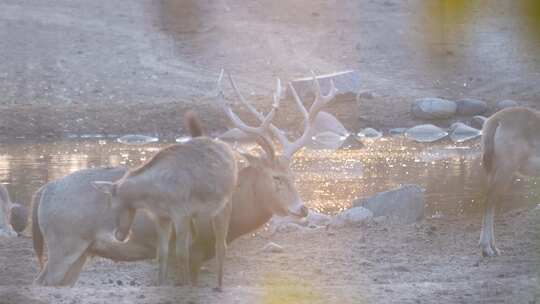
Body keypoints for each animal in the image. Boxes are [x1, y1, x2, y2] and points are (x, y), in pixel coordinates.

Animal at [30, 71, 338, 288]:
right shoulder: (194, 247)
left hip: (80, 252)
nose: (302, 209)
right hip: (64, 243)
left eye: (293, 174)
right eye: (276, 177)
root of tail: (42, 191)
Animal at [480, 107, 540, 256]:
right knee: (489, 202)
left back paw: (493, 248)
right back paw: (487, 248)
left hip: (494, 172)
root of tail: (496, 120)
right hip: (505, 171)